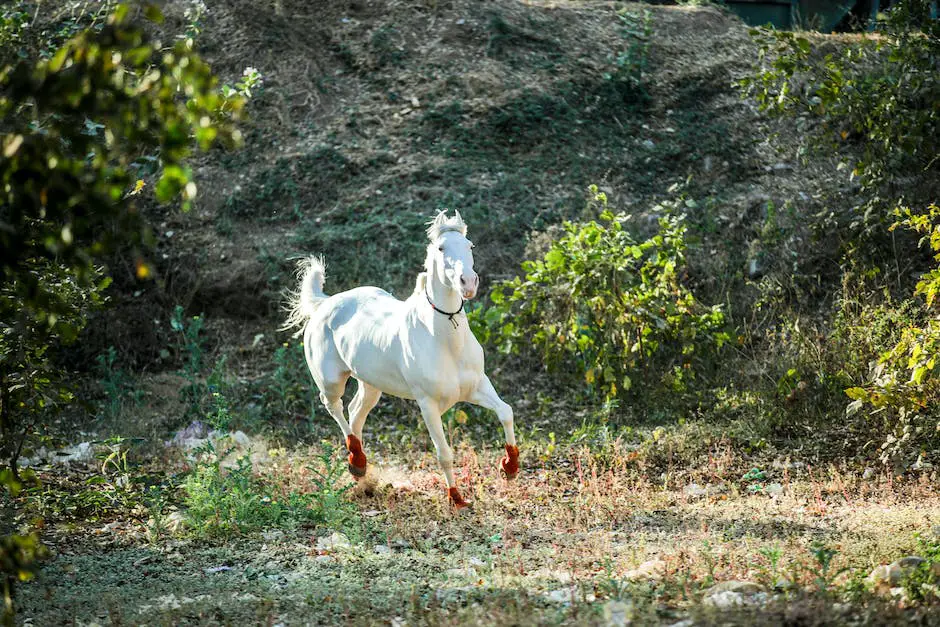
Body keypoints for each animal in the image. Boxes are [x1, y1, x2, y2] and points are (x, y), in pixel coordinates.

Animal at [286, 211, 520, 510]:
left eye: (470, 246)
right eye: (441, 248)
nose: (468, 283)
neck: (445, 340)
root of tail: (324, 303)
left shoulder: (477, 387)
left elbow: (506, 412)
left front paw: (509, 467)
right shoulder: (428, 404)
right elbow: (444, 453)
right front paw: (456, 499)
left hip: (371, 384)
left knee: (355, 411)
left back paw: (358, 465)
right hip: (330, 380)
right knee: (334, 406)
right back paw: (356, 460)